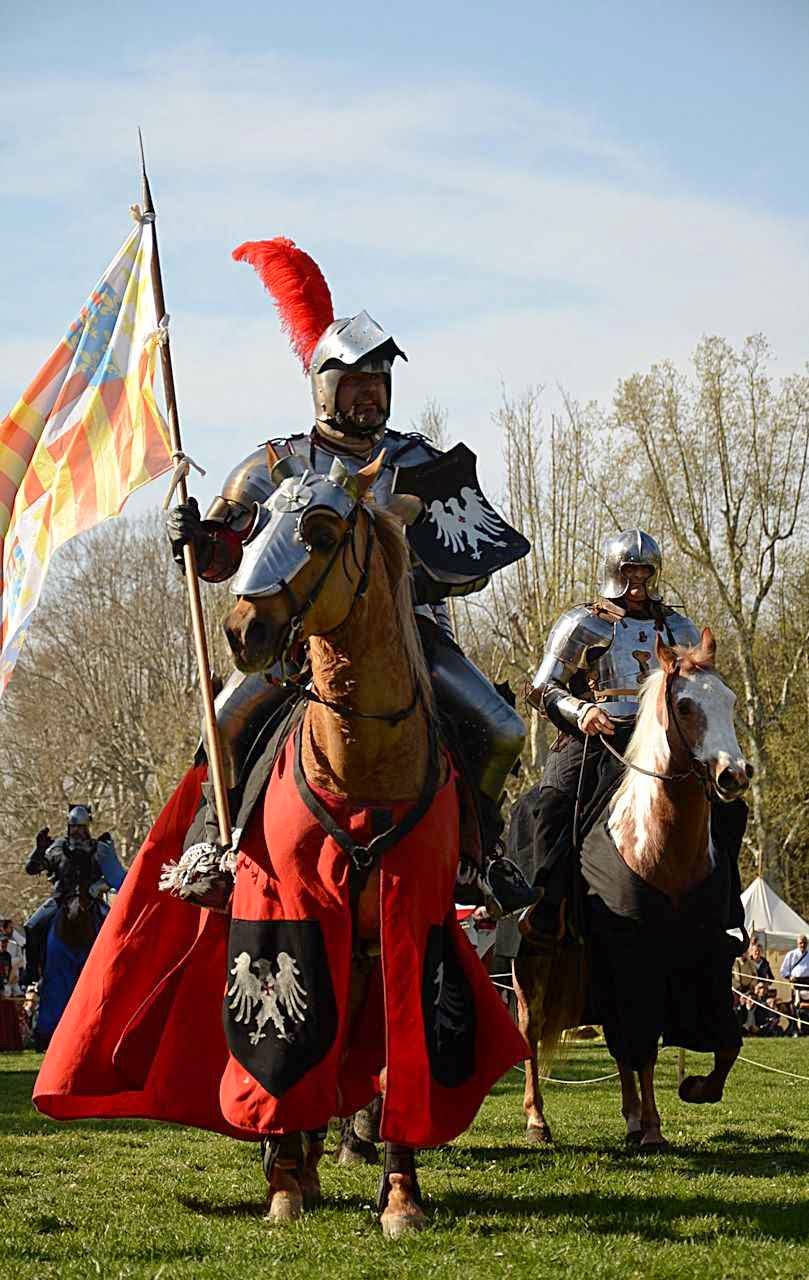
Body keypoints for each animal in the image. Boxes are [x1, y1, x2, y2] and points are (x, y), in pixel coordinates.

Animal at [221, 445, 524, 1233]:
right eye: (253, 524)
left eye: (322, 531)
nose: (240, 631)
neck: (360, 761)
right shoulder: (291, 907)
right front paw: (285, 1184)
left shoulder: (407, 919)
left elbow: (400, 1048)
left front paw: (401, 1195)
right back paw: (293, 1162)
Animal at [514, 629, 747, 1152]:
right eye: (684, 705)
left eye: (729, 699)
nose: (734, 776)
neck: (659, 846)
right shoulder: (632, 958)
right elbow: (642, 1048)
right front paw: (656, 1126)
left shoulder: (703, 956)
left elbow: (723, 1040)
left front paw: (693, 1090)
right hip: (529, 965)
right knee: (531, 1030)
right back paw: (538, 1119)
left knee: (616, 1042)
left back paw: (632, 1118)